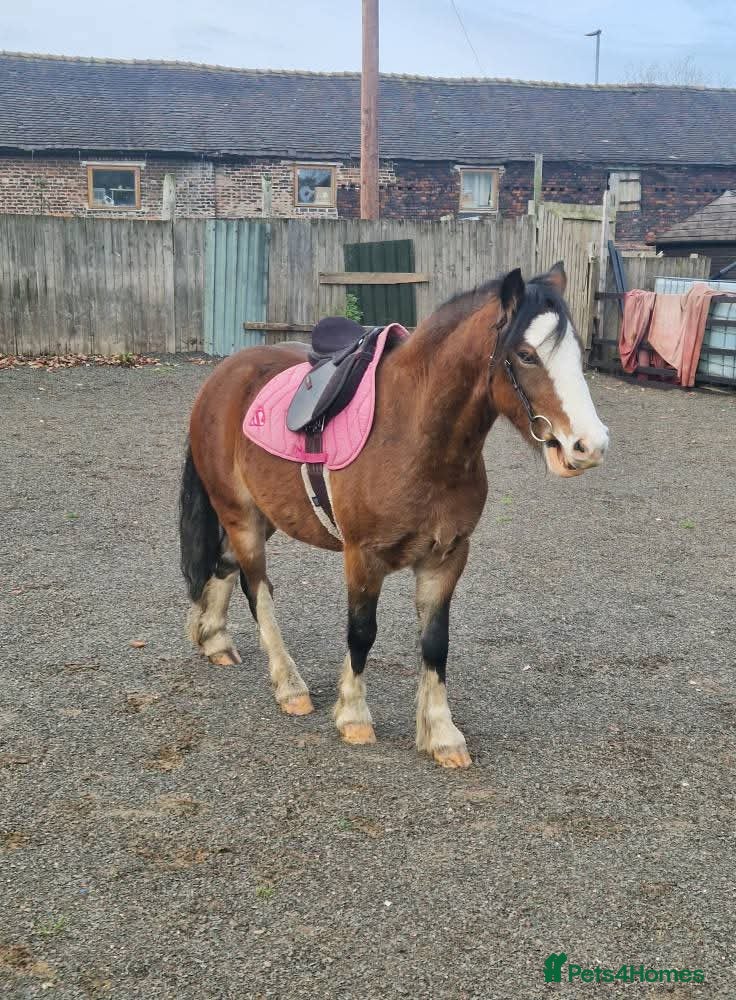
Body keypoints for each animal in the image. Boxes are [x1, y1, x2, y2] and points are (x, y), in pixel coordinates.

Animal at [179, 262, 609, 769]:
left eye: (577, 354)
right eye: (525, 355)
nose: (590, 445)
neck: (414, 435)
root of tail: (221, 379)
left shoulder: (446, 558)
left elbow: (436, 642)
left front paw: (441, 734)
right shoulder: (364, 557)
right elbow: (362, 632)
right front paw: (353, 716)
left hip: (261, 516)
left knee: (224, 564)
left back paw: (214, 639)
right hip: (242, 516)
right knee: (257, 589)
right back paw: (289, 685)